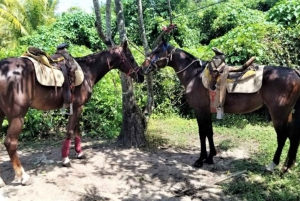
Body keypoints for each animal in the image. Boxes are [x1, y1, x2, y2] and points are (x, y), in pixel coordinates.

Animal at [0, 41, 144, 187]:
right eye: (131, 58)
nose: (141, 75)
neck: (87, 70)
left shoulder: (76, 107)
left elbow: (76, 130)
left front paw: (79, 153)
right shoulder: (78, 107)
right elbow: (70, 131)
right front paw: (66, 159)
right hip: (17, 117)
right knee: (10, 143)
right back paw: (23, 176)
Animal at [141, 38, 300, 173]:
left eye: (157, 51)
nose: (142, 68)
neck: (194, 75)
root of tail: (294, 72)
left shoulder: (200, 111)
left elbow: (202, 133)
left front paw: (200, 159)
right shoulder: (207, 111)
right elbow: (209, 132)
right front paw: (211, 157)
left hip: (278, 114)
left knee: (283, 136)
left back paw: (273, 164)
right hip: (287, 113)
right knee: (293, 134)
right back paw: (288, 166)